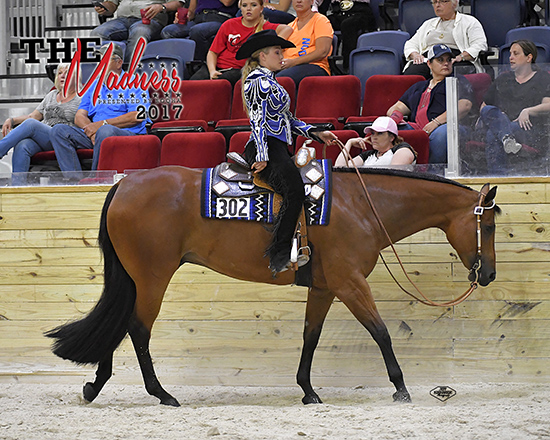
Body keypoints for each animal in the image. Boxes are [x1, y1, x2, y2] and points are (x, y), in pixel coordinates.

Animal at [46, 167, 500, 408]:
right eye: (491, 225)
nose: (489, 275)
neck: (362, 206)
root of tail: (125, 183)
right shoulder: (350, 283)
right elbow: (381, 332)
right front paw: (401, 387)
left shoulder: (325, 288)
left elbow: (311, 336)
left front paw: (308, 390)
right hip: (152, 277)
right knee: (137, 329)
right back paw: (162, 394)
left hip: (139, 278)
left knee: (121, 324)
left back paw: (95, 385)